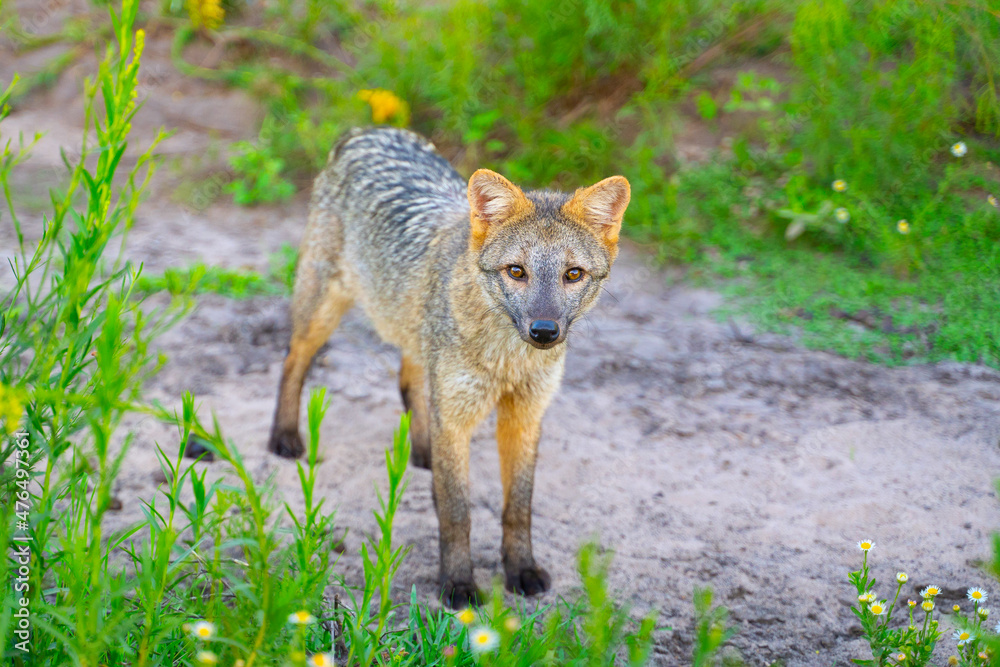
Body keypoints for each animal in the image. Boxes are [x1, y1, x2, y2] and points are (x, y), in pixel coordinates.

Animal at [267, 127, 630, 608]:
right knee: (293, 360)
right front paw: (457, 583)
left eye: (573, 274)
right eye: (516, 271)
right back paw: (285, 436)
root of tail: (367, 131)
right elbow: (458, 513)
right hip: (322, 312)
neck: (506, 360)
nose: (544, 331)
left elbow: (518, 508)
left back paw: (422, 450)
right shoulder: (458, 418)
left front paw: (522, 569)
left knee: (408, 380)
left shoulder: (524, 416)